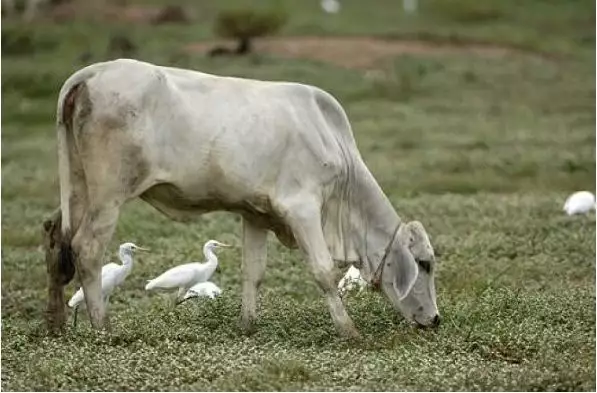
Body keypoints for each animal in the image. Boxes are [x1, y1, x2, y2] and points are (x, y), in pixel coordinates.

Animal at [43, 59, 438, 336]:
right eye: (425, 264)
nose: (435, 320)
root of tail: (91, 73)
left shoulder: (256, 213)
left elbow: (253, 273)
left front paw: (247, 326)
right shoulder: (302, 208)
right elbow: (324, 272)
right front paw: (350, 331)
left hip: (78, 188)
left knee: (55, 240)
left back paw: (57, 326)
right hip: (109, 195)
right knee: (87, 249)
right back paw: (103, 330)